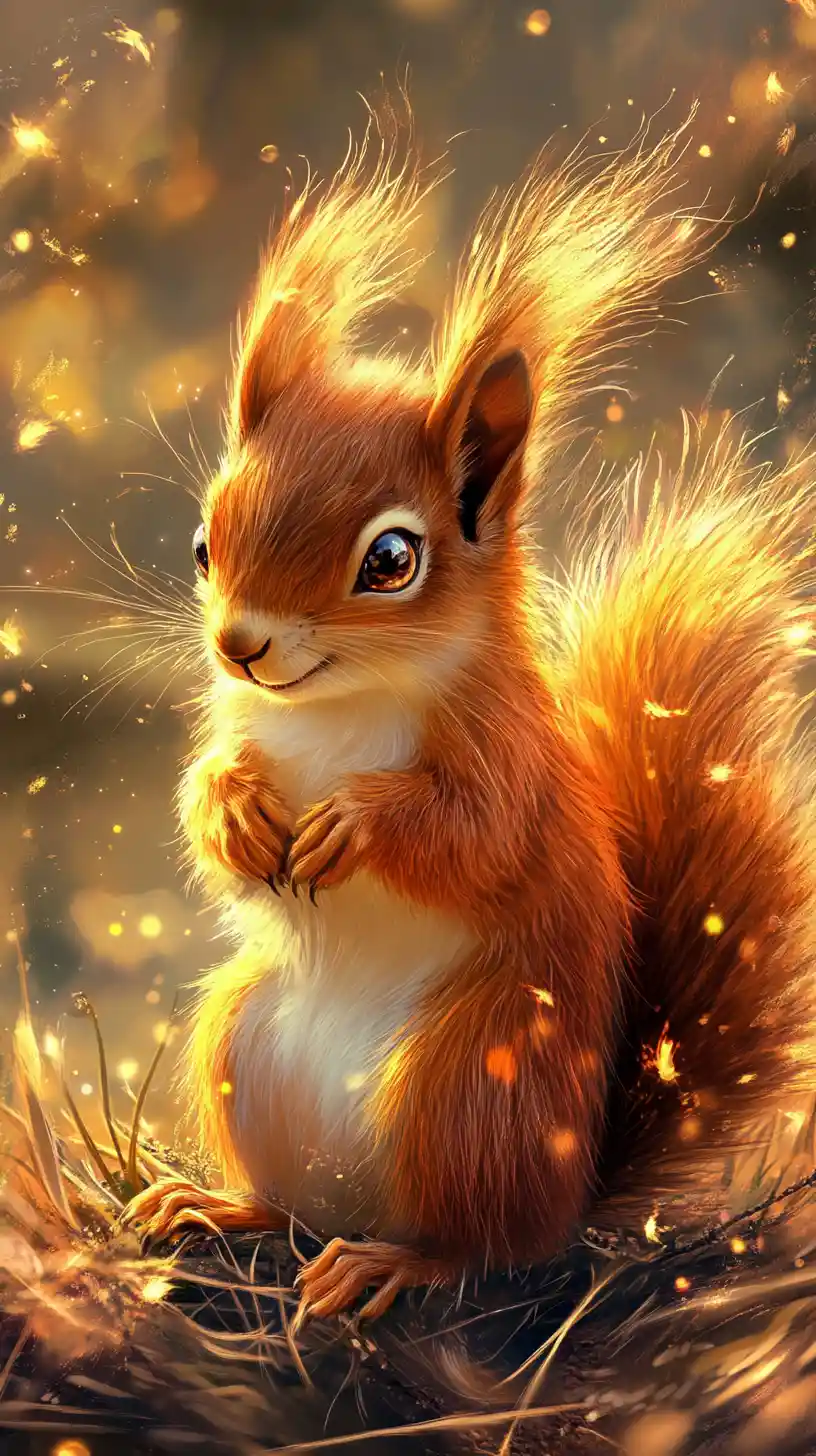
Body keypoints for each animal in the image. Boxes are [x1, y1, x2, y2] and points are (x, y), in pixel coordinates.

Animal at [123, 111, 816, 1326]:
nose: (239, 645)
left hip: (473, 1085)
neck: (339, 707)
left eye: (391, 560)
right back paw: (221, 1207)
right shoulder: (245, 724)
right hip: (241, 1044)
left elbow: (477, 833)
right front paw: (240, 814)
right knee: (295, 1205)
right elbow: (203, 793)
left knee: (480, 1246)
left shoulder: (513, 757)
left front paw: (352, 825)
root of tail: (573, 1194)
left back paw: (394, 1265)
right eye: (203, 544)